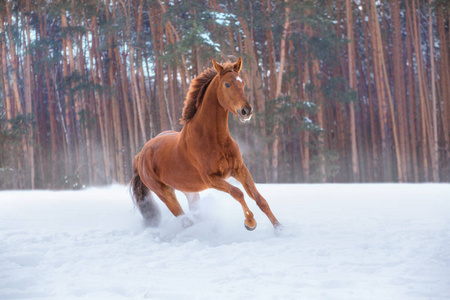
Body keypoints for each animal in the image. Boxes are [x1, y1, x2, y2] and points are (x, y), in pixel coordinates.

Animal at [130, 57, 284, 231]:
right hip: (164, 193)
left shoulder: (239, 169)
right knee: (184, 219)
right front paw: (250, 222)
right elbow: (237, 192)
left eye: (242, 83)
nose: (247, 111)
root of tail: (141, 155)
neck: (215, 140)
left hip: (188, 190)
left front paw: (279, 228)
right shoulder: (211, 179)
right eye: (227, 84)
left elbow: (259, 198)